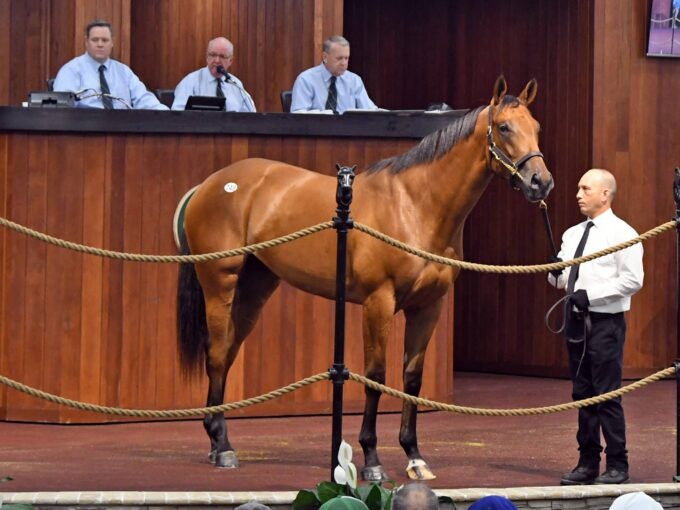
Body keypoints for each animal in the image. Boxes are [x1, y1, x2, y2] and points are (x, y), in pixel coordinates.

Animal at [175, 76, 552, 482]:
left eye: (536, 128)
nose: (541, 182)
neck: (413, 205)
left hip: (254, 289)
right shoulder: (378, 301)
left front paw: (414, 456)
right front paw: (372, 460)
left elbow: (412, 378)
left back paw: (218, 439)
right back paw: (222, 447)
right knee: (216, 354)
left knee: (227, 353)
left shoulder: (428, 306)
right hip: (220, 284)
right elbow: (376, 376)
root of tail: (211, 184)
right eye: (504, 128)